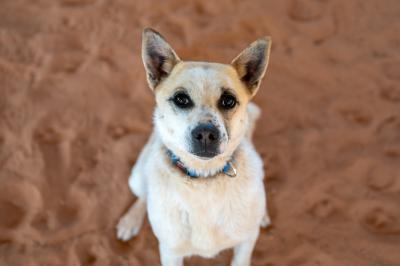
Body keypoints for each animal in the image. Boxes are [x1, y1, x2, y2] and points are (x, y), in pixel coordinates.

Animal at [115, 27, 272, 266]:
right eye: (181, 99)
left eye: (228, 101)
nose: (207, 134)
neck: (204, 180)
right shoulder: (170, 252)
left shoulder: (246, 241)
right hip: (136, 176)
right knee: (142, 195)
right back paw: (129, 221)